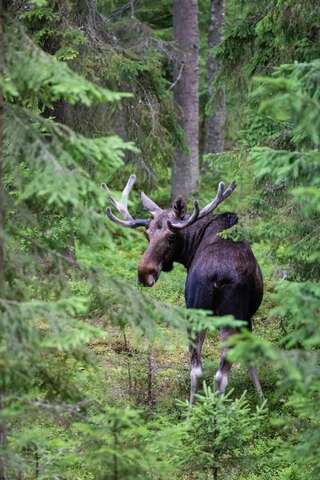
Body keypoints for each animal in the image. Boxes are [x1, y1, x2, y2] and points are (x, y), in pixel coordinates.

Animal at [104, 175, 262, 402]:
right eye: (147, 234)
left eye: (171, 236)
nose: (144, 273)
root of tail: (217, 275)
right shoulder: (247, 318)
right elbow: (251, 362)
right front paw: (262, 398)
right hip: (228, 316)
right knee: (220, 374)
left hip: (198, 313)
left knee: (196, 369)